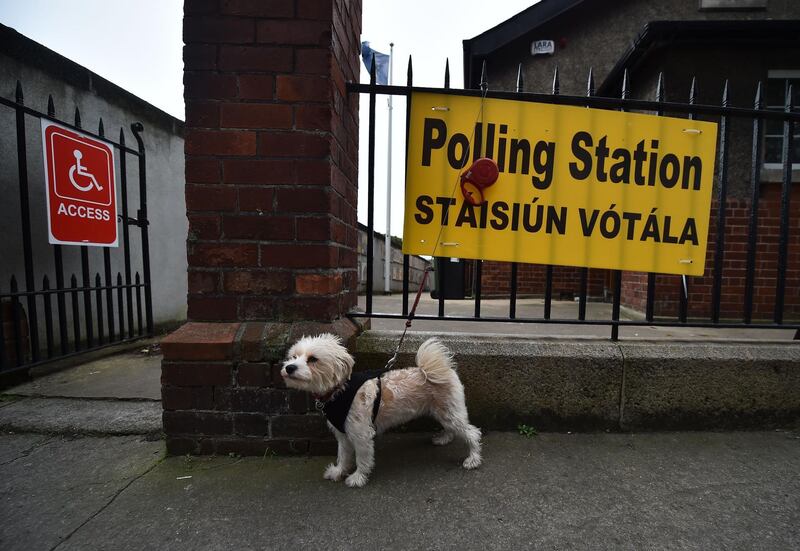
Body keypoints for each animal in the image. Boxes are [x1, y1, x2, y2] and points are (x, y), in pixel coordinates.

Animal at [282, 334, 482, 490]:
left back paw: (473, 459)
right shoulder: (343, 434)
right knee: (453, 429)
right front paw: (339, 471)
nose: (289, 367)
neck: (340, 390)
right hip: (443, 411)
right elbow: (343, 456)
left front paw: (358, 478)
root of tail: (439, 369)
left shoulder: (361, 435)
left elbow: (362, 459)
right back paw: (444, 438)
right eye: (293, 356)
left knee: (472, 433)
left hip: (449, 413)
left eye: (313, 359)